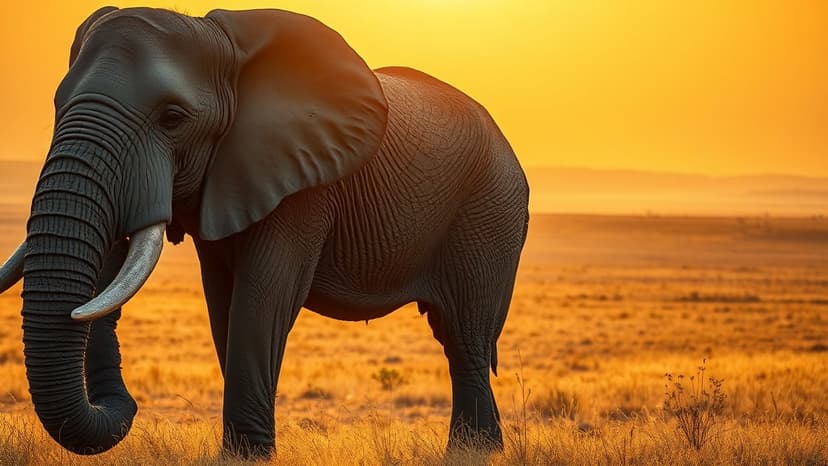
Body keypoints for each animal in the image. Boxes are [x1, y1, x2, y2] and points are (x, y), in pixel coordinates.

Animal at [0, 6, 529, 457]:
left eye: (172, 118)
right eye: (57, 106)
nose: (126, 404)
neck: (225, 46)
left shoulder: (304, 186)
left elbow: (263, 297)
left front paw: (248, 456)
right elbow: (224, 302)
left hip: (490, 212)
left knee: (464, 336)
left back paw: (475, 452)